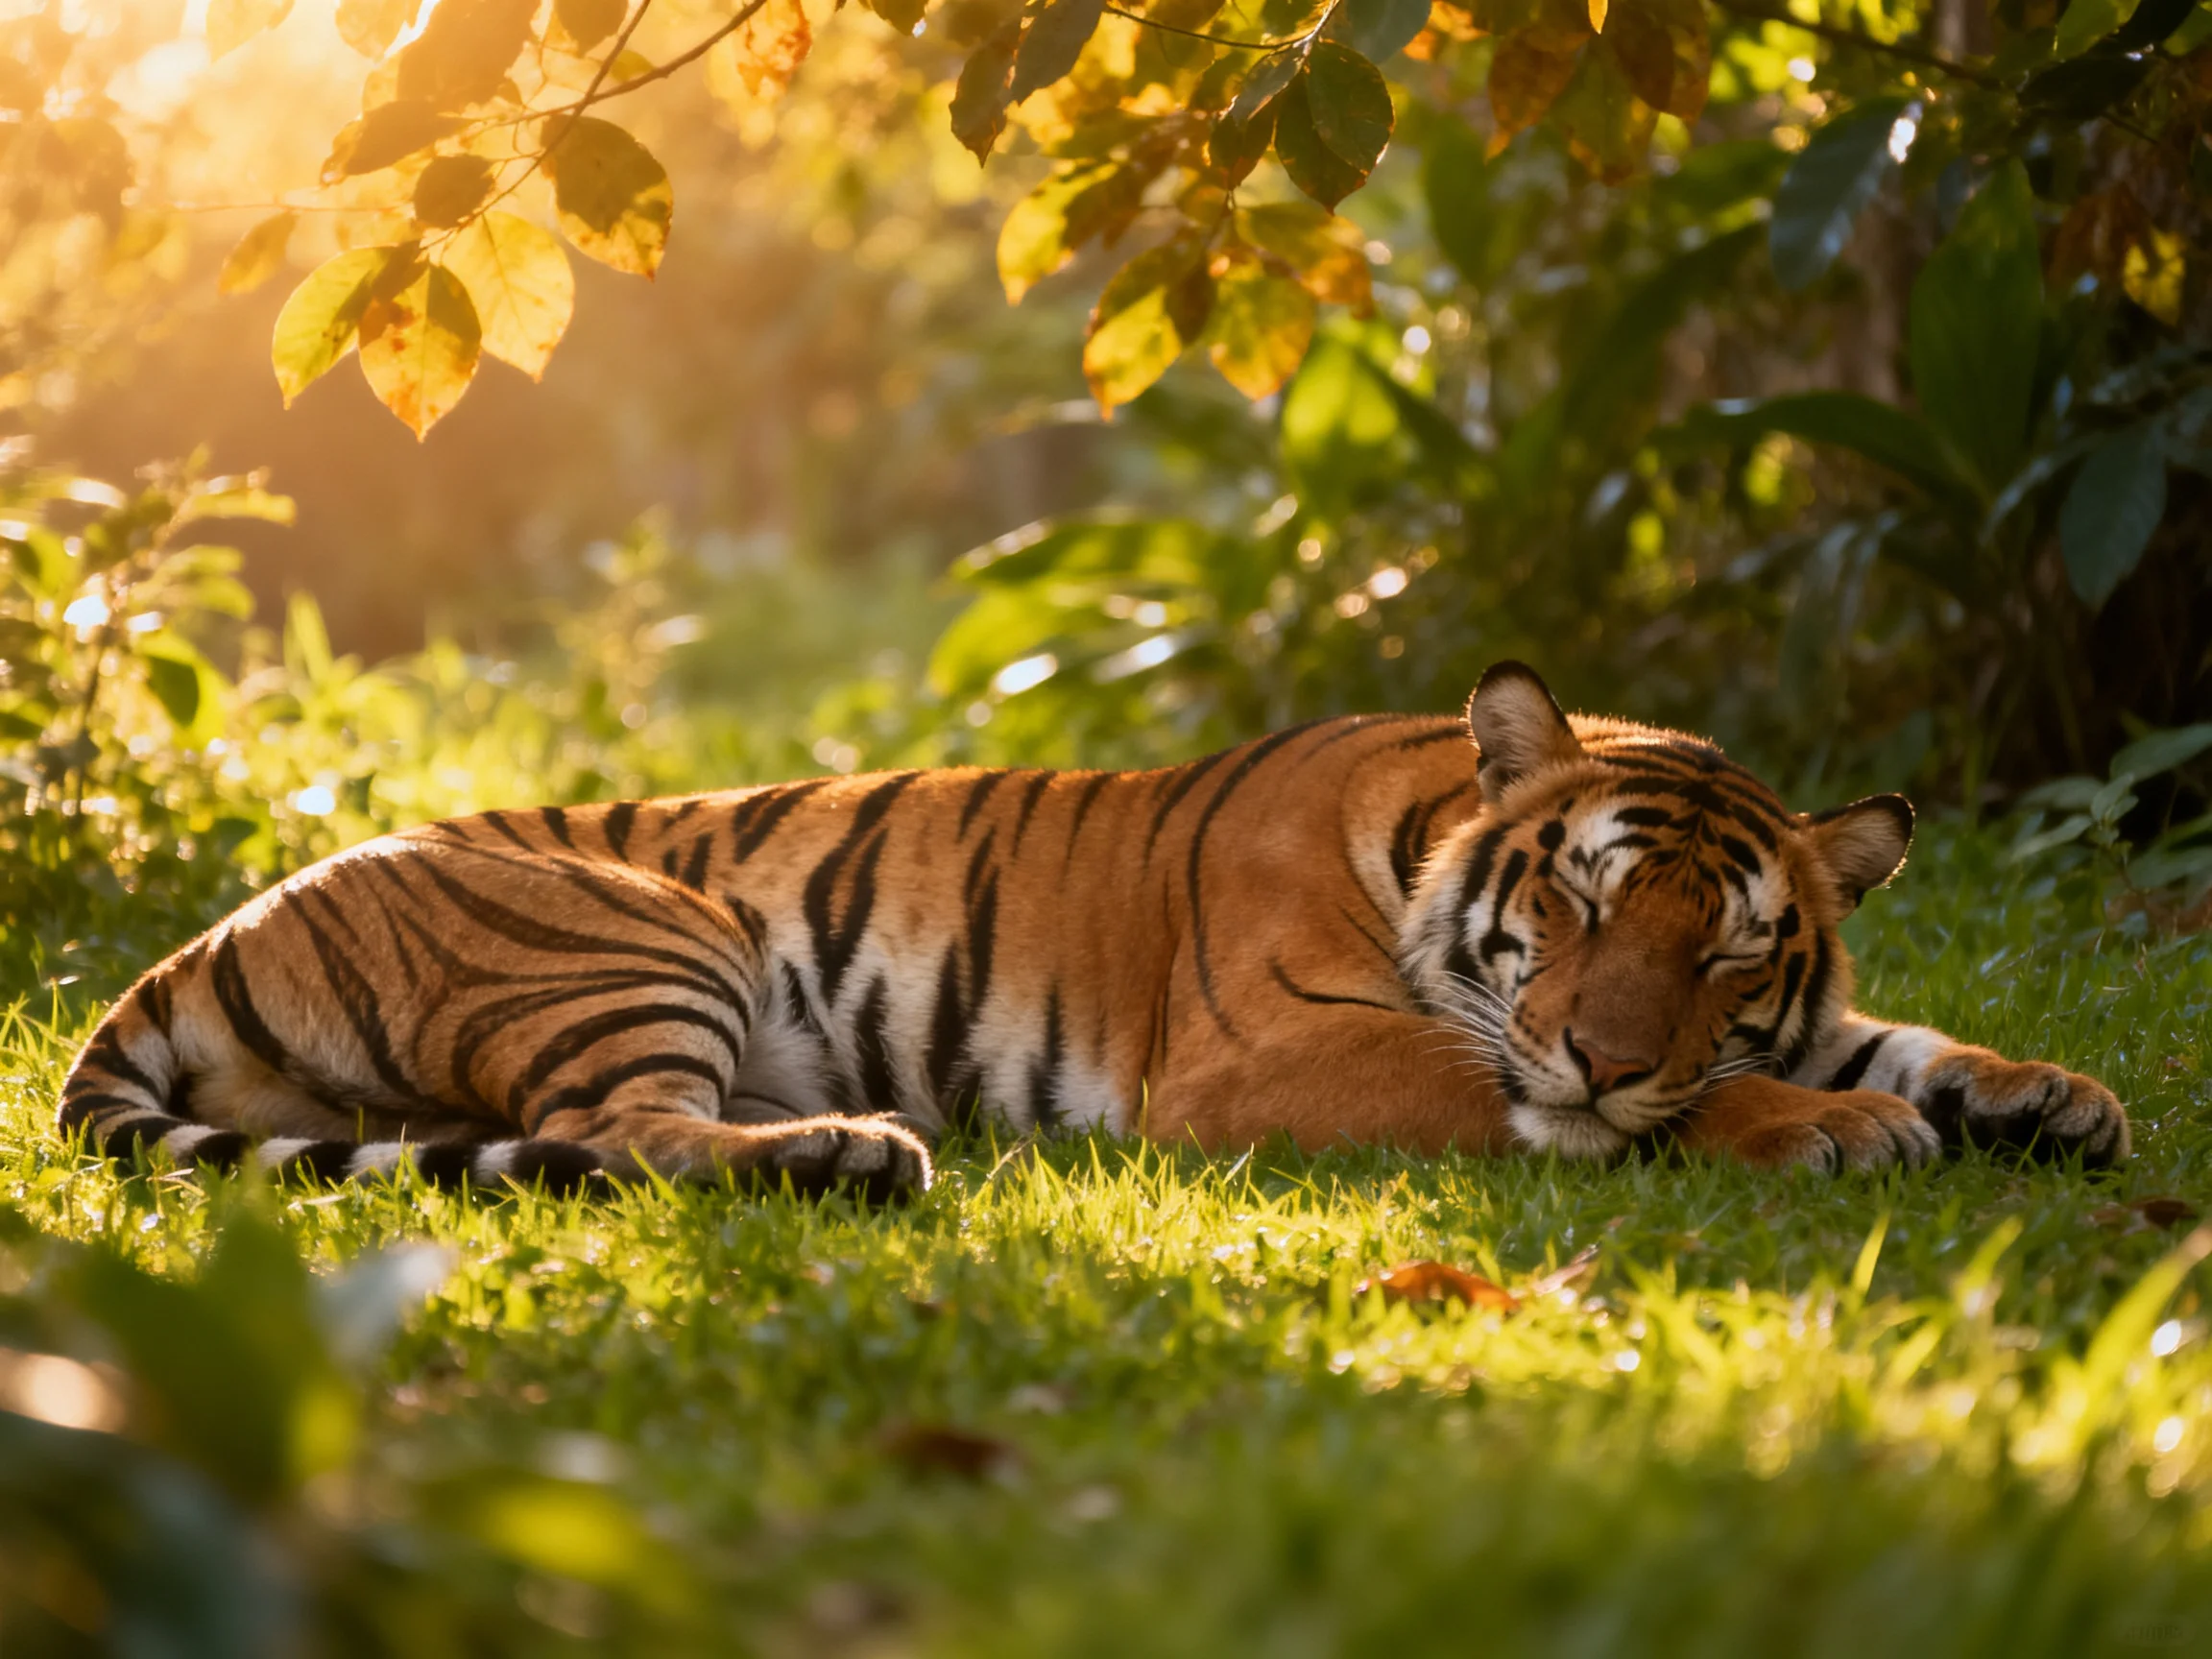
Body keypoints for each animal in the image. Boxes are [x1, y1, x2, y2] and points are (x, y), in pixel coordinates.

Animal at [56, 662, 2128, 1195]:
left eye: (1728, 951)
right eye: (1578, 901)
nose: (1610, 1045)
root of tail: (184, 951)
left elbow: (1894, 1034)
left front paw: (2049, 1096)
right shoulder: (1287, 1053)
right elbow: (1633, 1108)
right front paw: (1838, 1126)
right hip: (640, 932)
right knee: (615, 1136)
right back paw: (852, 1153)